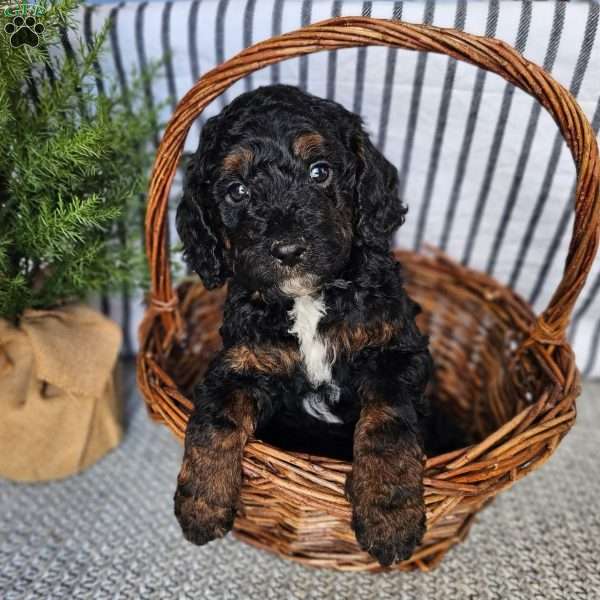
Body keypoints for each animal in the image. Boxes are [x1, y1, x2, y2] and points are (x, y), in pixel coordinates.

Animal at [173, 84, 432, 568]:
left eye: (319, 171)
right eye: (236, 190)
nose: (289, 250)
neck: (306, 300)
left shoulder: (393, 353)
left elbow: (387, 425)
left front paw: (390, 516)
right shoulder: (242, 364)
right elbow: (214, 423)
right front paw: (200, 505)